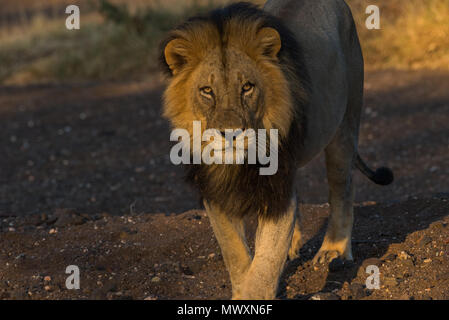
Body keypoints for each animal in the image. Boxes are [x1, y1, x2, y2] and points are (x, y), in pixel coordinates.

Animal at [158, 0, 392, 300]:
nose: (230, 134)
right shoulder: (214, 190)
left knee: (342, 188)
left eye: (247, 87)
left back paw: (333, 251)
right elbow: (235, 252)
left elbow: (265, 263)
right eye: (207, 91)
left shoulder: (277, 184)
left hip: (344, 124)